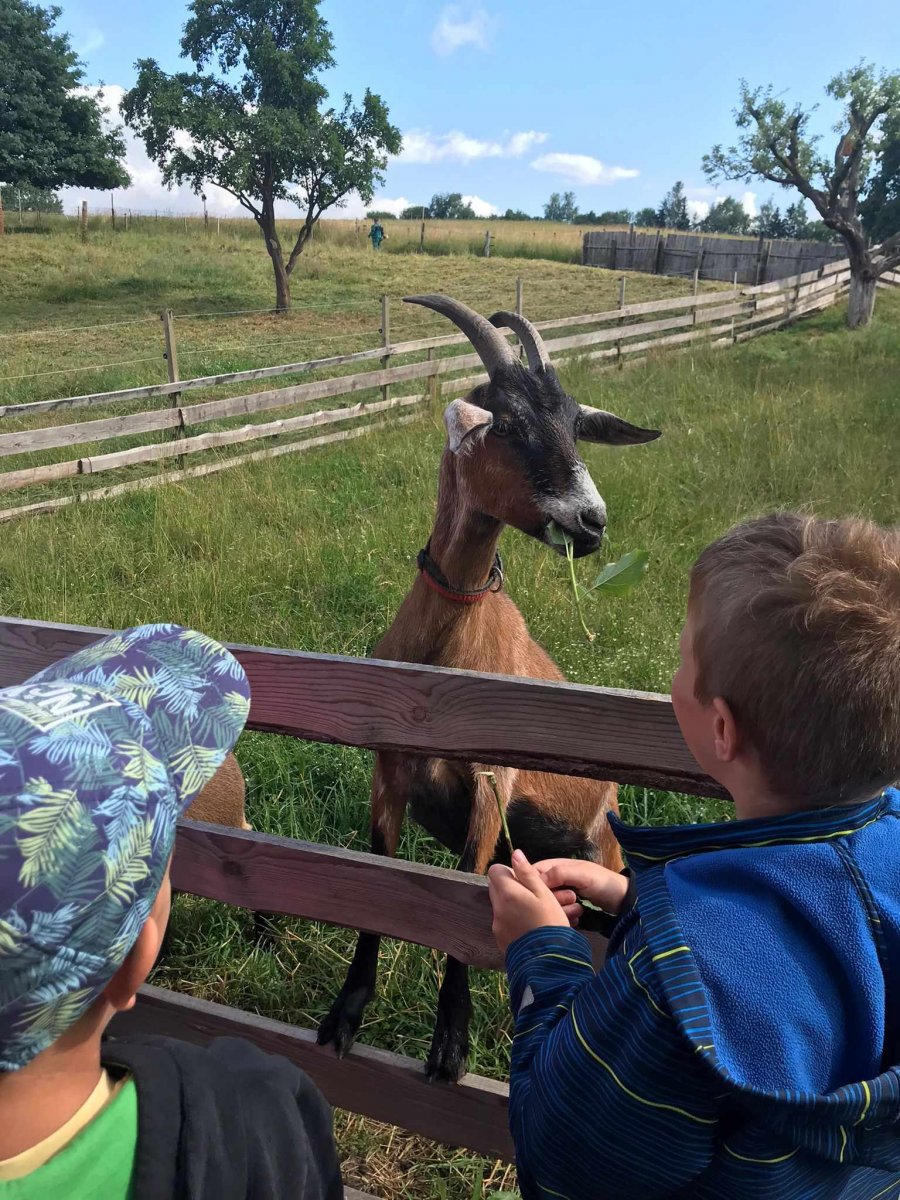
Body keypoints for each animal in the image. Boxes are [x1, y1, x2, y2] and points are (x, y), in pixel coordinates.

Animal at [318, 296, 660, 1082]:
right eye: (505, 423)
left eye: (574, 425)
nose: (592, 522)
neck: (448, 658)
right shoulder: (390, 770)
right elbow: (379, 878)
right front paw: (347, 1012)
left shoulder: (490, 783)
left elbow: (465, 899)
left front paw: (450, 1043)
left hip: (598, 852)